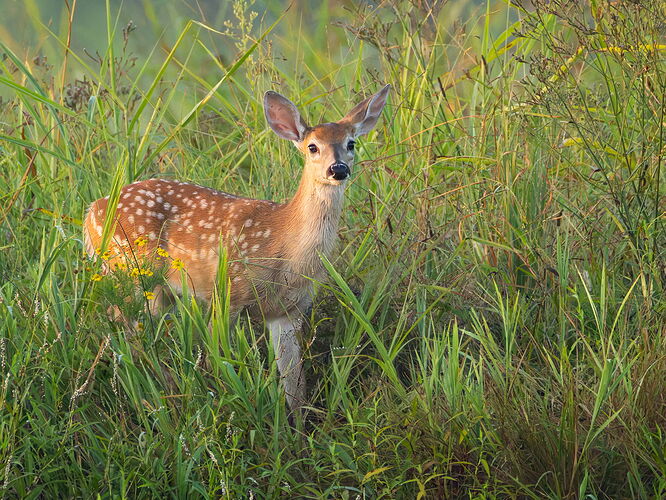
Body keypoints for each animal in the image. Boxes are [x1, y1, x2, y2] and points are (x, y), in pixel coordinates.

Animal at [83, 85, 390, 412]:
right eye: (312, 147)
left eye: (351, 143)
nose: (338, 169)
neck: (287, 249)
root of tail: (91, 210)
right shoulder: (229, 290)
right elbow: (217, 359)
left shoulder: (290, 309)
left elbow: (295, 383)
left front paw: (298, 424)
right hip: (133, 272)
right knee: (119, 327)